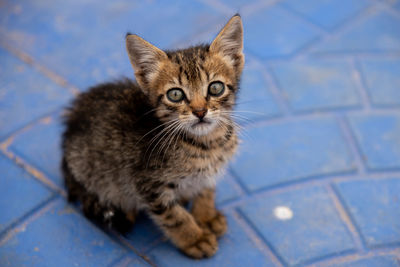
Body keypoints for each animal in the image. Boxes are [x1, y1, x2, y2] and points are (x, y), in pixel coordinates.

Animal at [62, 15, 244, 260]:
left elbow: (206, 189)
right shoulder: (147, 184)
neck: (207, 143)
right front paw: (194, 238)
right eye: (175, 94)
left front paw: (206, 216)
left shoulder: (209, 172)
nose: (200, 111)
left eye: (215, 88)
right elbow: (174, 217)